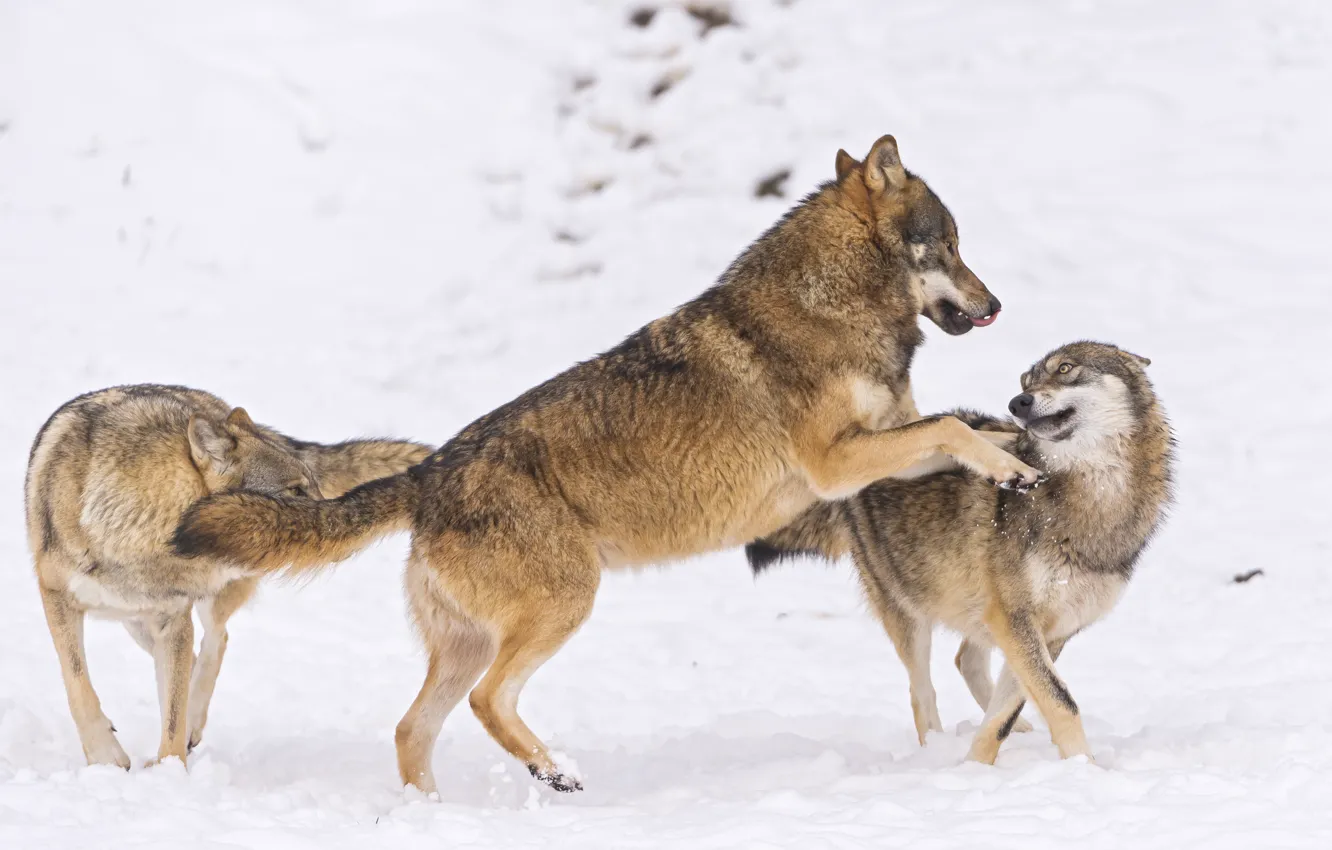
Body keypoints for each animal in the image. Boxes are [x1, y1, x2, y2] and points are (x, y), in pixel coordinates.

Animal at [25, 384, 432, 769]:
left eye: (313, 485)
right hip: (138, 624)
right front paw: (107, 757)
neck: (132, 523)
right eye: (296, 490)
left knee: (215, 641)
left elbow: (172, 719)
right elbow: (78, 684)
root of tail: (219, 408)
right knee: (195, 656)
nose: (335, 519)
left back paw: (192, 722)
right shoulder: (56, 597)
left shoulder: (173, 620)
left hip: (216, 589)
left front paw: (170, 773)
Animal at [172, 135, 1041, 793]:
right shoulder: (839, 463)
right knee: (486, 702)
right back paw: (552, 772)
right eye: (950, 246)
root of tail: (427, 476)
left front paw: (1020, 461)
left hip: (477, 640)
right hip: (564, 605)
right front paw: (1018, 470)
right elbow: (952, 429)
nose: (996, 305)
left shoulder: (881, 451)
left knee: (410, 728)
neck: (833, 303)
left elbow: (960, 435)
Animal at [747, 341, 1175, 764]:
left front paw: (977, 767)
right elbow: (1060, 700)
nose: (1017, 403)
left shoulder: (1051, 629)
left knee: (966, 660)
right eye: (1025, 382)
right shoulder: (1015, 617)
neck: (1093, 495)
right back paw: (934, 754)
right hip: (911, 613)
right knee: (922, 692)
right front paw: (1083, 766)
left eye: (1065, 368)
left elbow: (1007, 712)